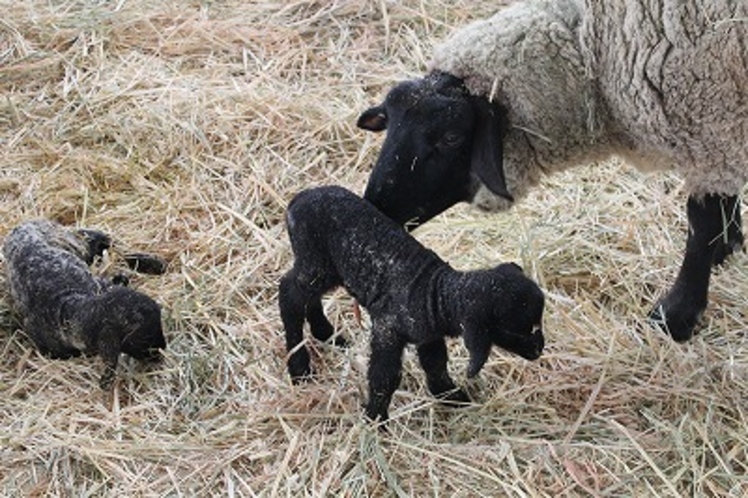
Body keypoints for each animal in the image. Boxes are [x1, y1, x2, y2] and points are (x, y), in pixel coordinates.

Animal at [2, 221, 167, 390]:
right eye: (142, 336)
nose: (161, 352)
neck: (68, 306)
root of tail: (23, 224)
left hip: (80, 241)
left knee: (112, 246)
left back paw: (154, 264)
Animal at [278, 185, 540, 422]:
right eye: (514, 330)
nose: (539, 350)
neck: (435, 294)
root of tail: (297, 200)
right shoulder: (388, 329)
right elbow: (384, 376)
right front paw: (375, 419)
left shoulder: (427, 334)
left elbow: (436, 364)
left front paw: (451, 396)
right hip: (315, 260)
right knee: (290, 294)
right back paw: (299, 367)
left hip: (326, 268)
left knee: (307, 296)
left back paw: (326, 334)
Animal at [356, 0, 748, 342]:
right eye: (389, 124)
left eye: (451, 137)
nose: (375, 207)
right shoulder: (720, 131)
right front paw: (728, 245)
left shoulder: (708, 125)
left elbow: (701, 223)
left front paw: (676, 316)